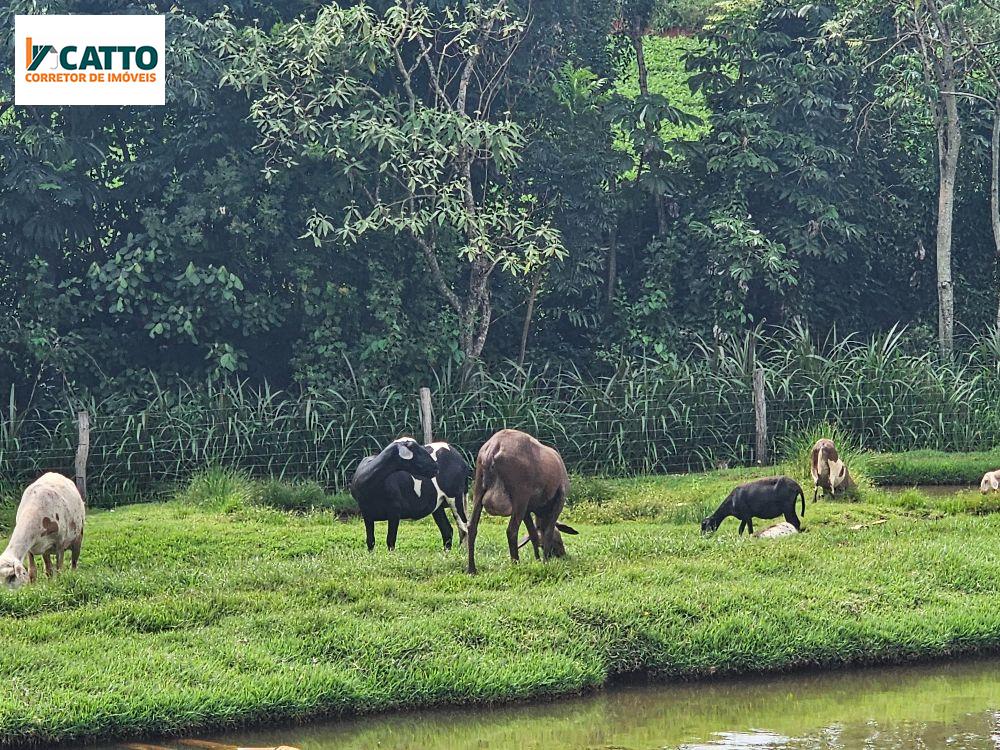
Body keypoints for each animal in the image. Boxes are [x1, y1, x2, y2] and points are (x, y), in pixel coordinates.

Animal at [466, 428, 580, 576]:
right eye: (558, 540)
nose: (562, 555)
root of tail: (494, 446)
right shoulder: (559, 498)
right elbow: (547, 532)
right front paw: (545, 562)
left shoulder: (527, 508)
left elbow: (533, 534)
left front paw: (538, 560)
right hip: (519, 496)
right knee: (511, 531)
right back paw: (516, 564)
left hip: (478, 490)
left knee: (471, 527)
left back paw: (471, 569)